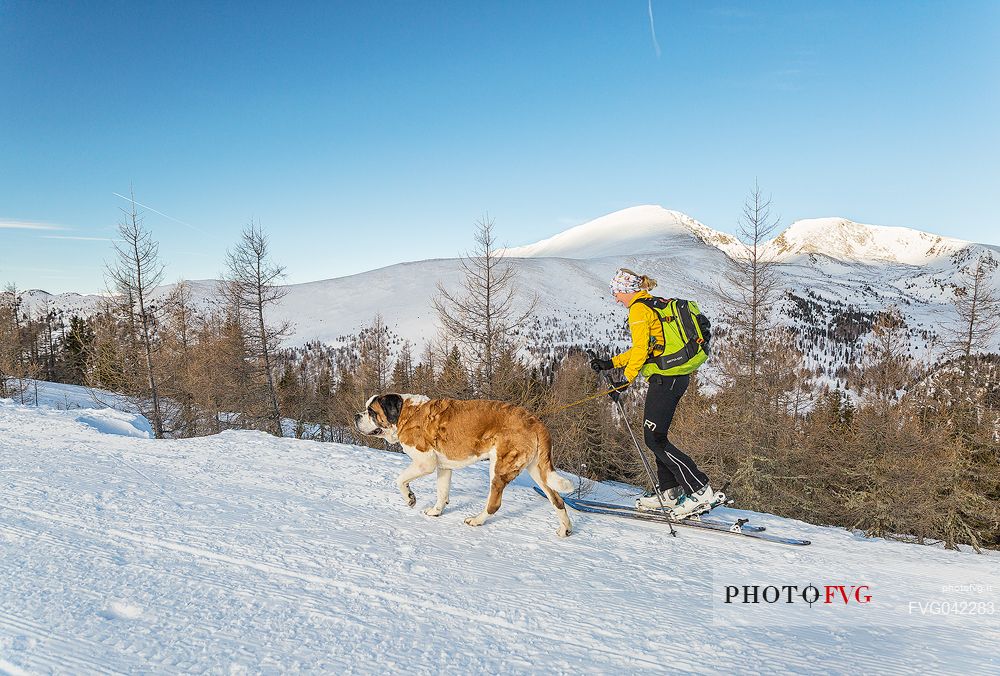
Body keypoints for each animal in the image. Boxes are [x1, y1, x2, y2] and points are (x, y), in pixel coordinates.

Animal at [354, 394, 572, 536]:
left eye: (371, 412)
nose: (357, 416)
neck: (405, 414)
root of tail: (535, 421)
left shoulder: (425, 462)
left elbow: (400, 479)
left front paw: (410, 498)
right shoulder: (443, 467)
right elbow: (442, 492)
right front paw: (436, 511)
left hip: (500, 466)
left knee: (494, 503)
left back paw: (476, 520)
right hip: (537, 469)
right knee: (557, 499)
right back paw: (565, 529)